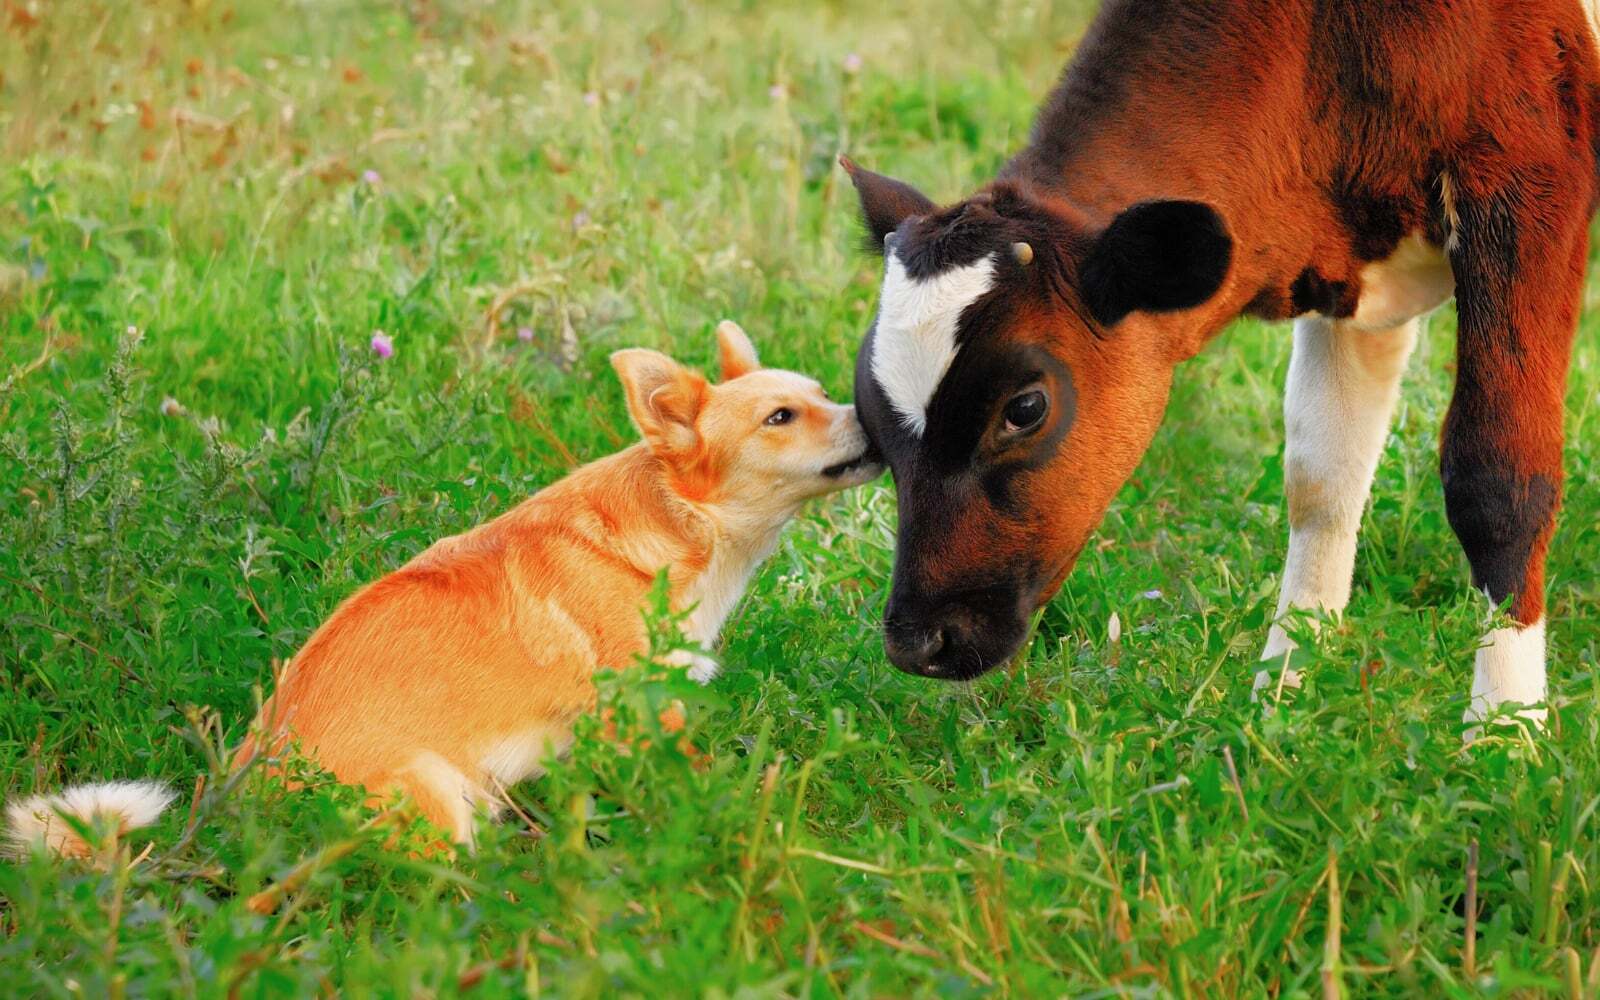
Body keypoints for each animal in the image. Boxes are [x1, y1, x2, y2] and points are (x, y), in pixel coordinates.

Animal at [6, 321, 883, 851]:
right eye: (780, 418)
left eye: (821, 396)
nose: (878, 415)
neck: (679, 530)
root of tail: (227, 804)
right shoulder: (644, 723)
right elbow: (713, 789)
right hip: (438, 798)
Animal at [844, 1, 1593, 732]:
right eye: (870, 415)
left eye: (1024, 408)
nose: (919, 641)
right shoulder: (1350, 271)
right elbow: (1324, 482)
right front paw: (1282, 702)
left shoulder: (1533, 178)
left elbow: (1498, 473)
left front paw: (1503, 731)